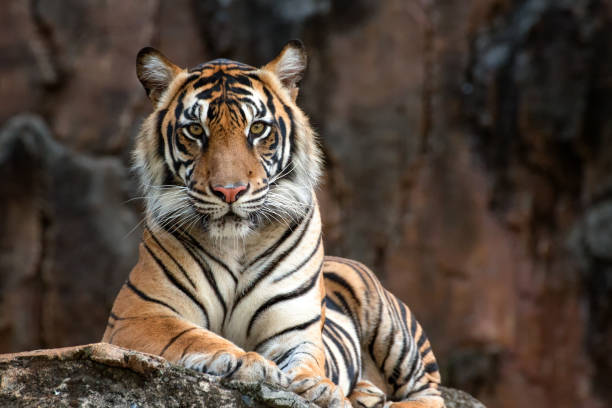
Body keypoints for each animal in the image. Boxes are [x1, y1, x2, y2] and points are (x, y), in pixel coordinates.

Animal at [101, 39, 444, 408]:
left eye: (257, 129)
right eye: (195, 130)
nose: (230, 191)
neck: (236, 243)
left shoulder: (295, 328)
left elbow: (308, 360)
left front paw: (319, 387)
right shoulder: (139, 313)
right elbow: (194, 336)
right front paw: (247, 362)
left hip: (392, 331)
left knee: (429, 391)